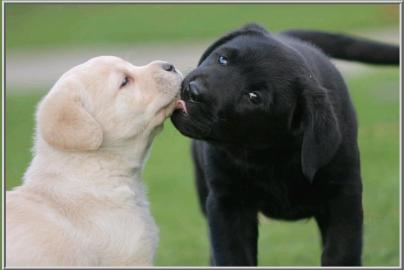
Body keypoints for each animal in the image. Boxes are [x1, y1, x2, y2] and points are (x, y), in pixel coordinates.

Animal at [170, 22, 398, 266]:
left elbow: (341, 252)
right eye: (223, 59)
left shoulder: (344, 197)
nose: (194, 91)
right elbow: (232, 255)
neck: (270, 156)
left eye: (254, 96)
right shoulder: (227, 203)